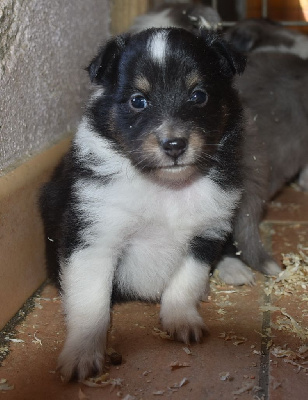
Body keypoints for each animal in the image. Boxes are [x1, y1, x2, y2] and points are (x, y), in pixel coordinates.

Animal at [40, 28, 248, 382]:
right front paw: (82, 355)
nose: (174, 145)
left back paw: (236, 267)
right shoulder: (94, 236)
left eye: (199, 96)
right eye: (138, 100)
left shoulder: (205, 231)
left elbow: (187, 280)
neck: (166, 186)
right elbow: (90, 302)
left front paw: (182, 321)